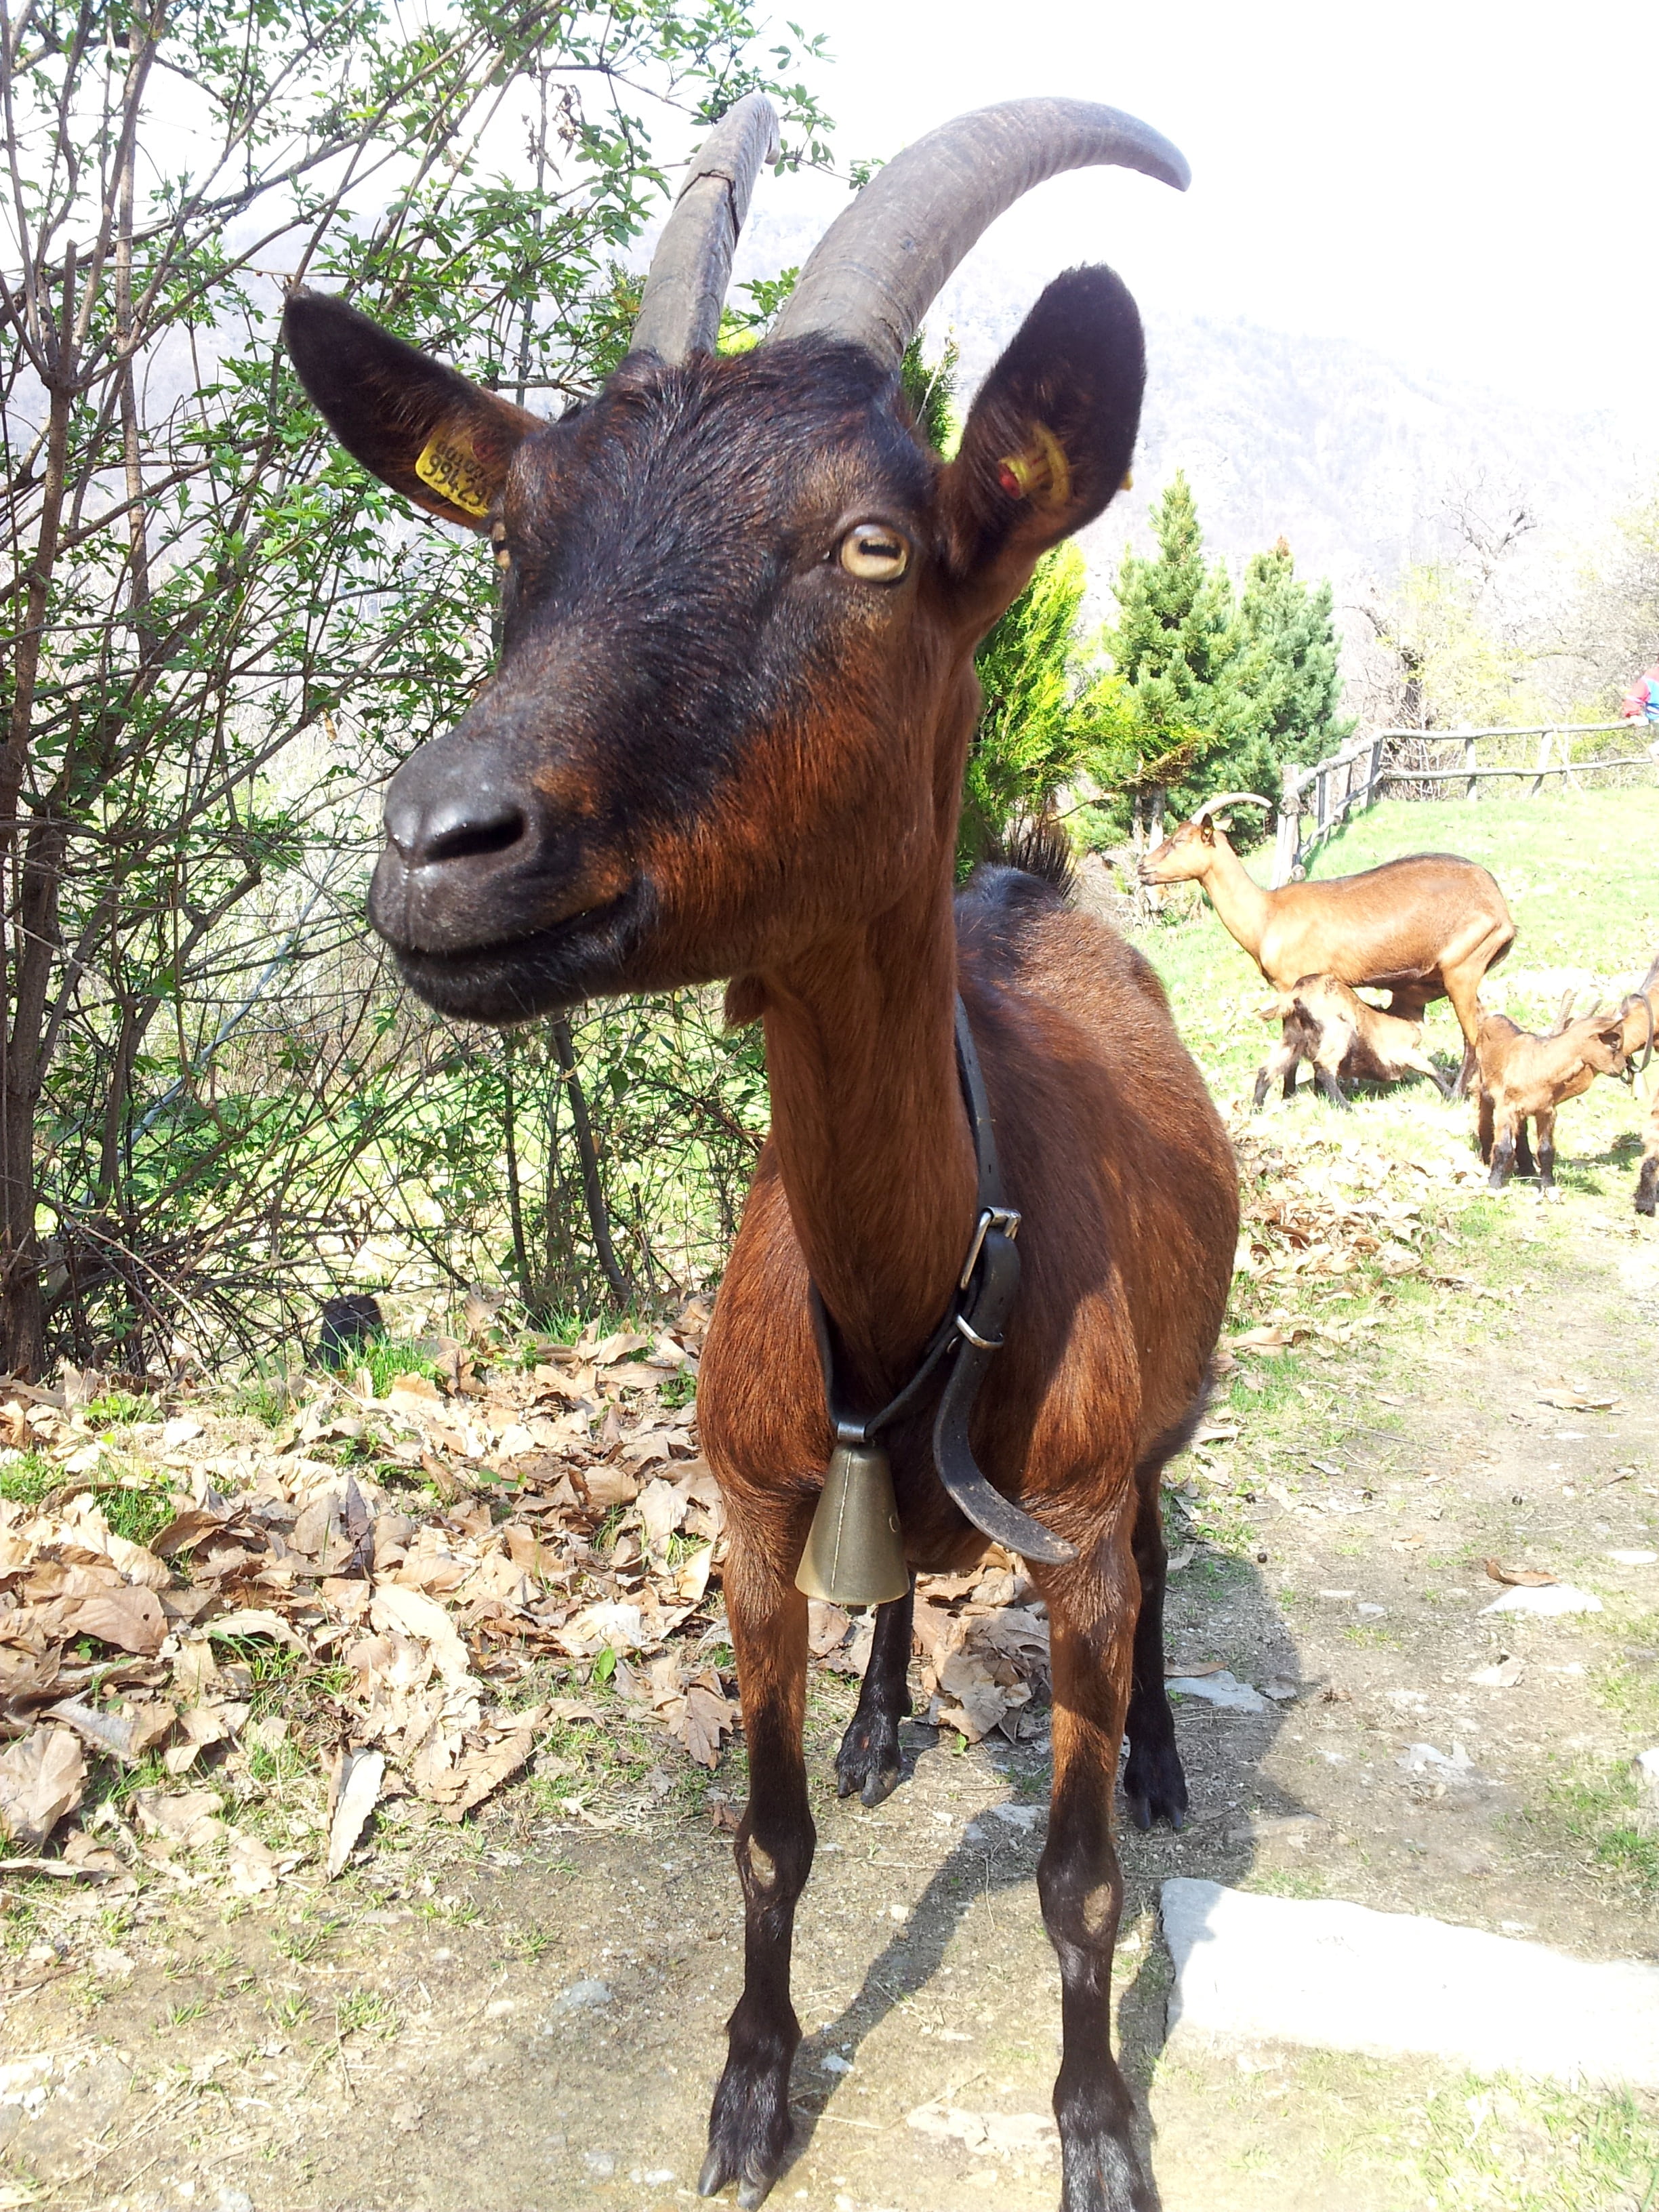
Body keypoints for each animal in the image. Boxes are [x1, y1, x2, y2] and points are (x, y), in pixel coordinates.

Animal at [284, 95, 1237, 2212]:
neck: (916, 1298)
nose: (438, 846)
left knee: (1159, 1543)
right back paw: (886, 1719)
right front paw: (745, 2085)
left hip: (1165, 1426)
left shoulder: (1071, 1542)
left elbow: (1074, 1881)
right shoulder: (746, 1514)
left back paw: (1161, 1761)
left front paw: (1098, 2126)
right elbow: (766, 1834)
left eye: (874, 544)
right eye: (515, 543)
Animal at [1139, 797, 1516, 1090]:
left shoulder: (1291, 984)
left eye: (1180, 840)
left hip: (1462, 968)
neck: (1267, 915)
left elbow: (1294, 1048)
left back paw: (1456, 1093)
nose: (1143, 867)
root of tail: (1499, 906)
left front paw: (1290, 1095)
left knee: (1472, 1033)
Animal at [1252, 973, 1455, 1110]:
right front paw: (1450, 1095)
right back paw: (1346, 1107)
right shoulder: (1402, 1052)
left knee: (1267, 1070)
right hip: (1339, 1031)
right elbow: (1431, 1069)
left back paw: (1256, 1108)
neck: (1402, 1017)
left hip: (1293, 1039)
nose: (1446, 985)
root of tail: (1298, 994)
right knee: (1323, 1067)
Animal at [1475, 996, 1627, 1196]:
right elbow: (1503, 1147)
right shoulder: (1506, 1107)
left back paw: (1527, 1168)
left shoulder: (1547, 1111)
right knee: (1484, 1114)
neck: (1542, 1064)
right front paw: (1494, 1184)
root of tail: (1492, 1016)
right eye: (1614, 1044)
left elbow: (1546, 1150)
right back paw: (1487, 1158)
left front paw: (1548, 1185)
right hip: (1484, 1078)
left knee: (1522, 1130)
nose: (1622, 1068)